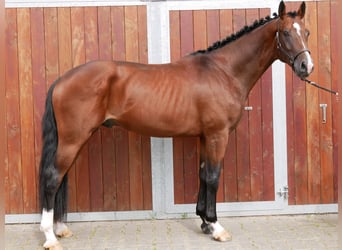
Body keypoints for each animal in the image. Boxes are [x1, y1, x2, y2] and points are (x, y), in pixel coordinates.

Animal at [39, 1, 312, 248]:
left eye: (307, 32)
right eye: (286, 33)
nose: (306, 66)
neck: (223, 71)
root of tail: (62, 80)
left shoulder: (205, 136)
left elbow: (203, 175)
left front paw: (204, 222)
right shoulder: (218, 135)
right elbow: (213, 177)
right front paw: (216, 227)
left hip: (75, 140)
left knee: (61, 177)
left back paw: (60, 228)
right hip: (74, 139)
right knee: (53, 177)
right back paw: (50, 237)